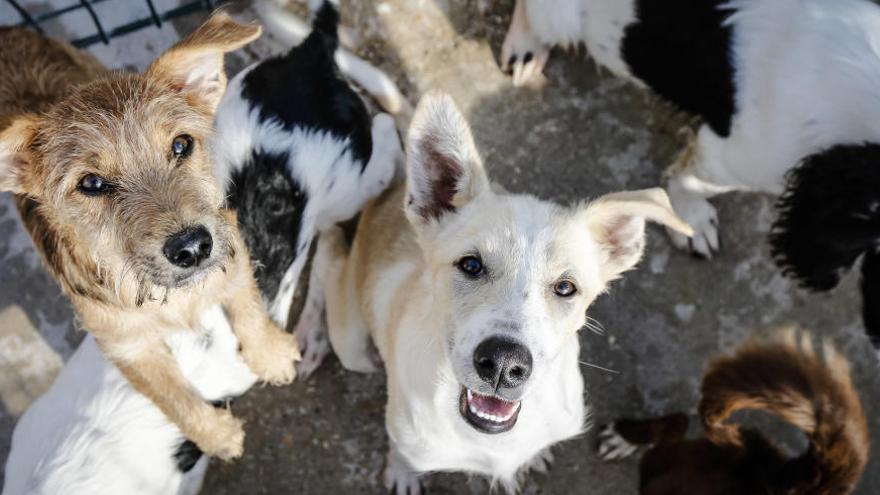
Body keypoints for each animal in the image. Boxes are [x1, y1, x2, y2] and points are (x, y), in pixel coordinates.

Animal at [0, 12, 300, 462]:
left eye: (181, 144)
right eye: (91, 183)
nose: (192, 247)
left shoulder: (232, 253)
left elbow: (249, 311)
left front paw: (271, 355)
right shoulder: (128, 347)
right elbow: (173, 398)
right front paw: (215, 436)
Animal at [322, 92, 696, 492]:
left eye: (566, 287)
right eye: (471, 265)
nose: (503, 364)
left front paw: (534, 456)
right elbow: (402, 448)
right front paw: (404, 470)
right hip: (351, 343)